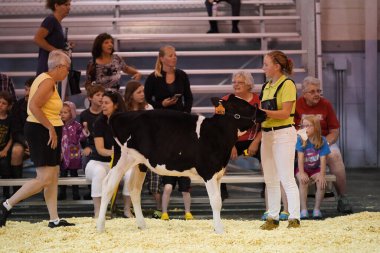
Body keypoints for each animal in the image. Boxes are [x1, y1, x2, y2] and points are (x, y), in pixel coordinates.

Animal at [96, 94, 266, 233]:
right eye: (243, 105)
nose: (263, 112)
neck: (216, 133)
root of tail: (119, 115)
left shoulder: (218, 173)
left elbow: (218, 200)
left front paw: (216, 227)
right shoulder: (209, 172)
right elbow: (216, 201)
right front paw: (219, 230)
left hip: (140, 163)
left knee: (134, 189)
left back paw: (142, 225)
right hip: (122, 158)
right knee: (108, 185)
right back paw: (100, 226)